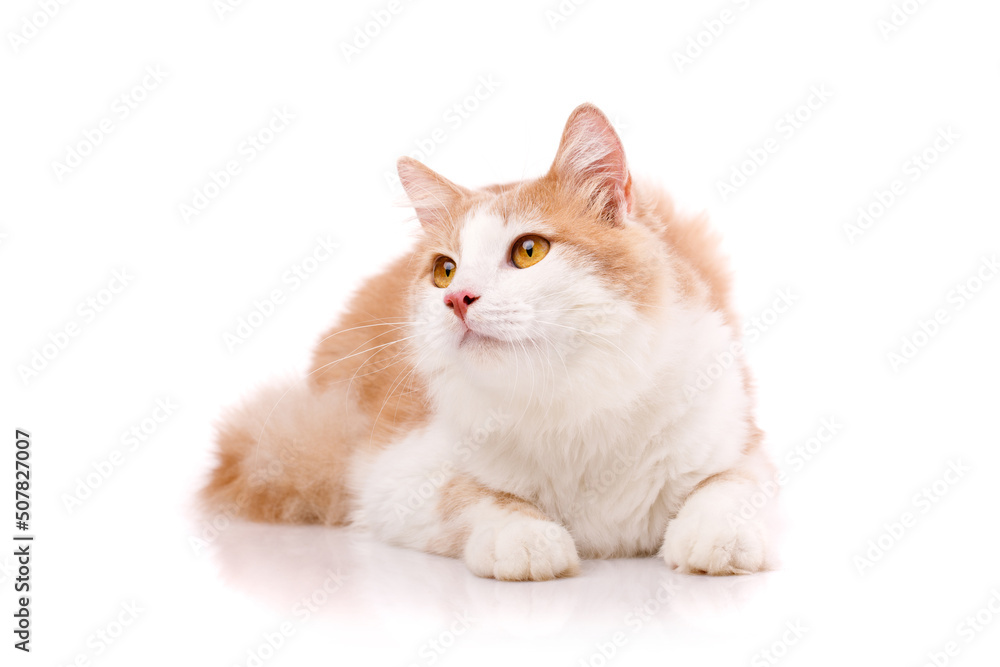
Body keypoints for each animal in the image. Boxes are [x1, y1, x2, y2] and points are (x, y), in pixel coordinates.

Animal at [205, 103, 780, 580]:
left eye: (528, 251)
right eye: (444, 269)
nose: (457, 299)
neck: (570, 406)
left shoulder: (738, 437)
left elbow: (727, 487)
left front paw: (715, 536)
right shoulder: (392, 477)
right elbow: (477, 498)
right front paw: (526, 539)